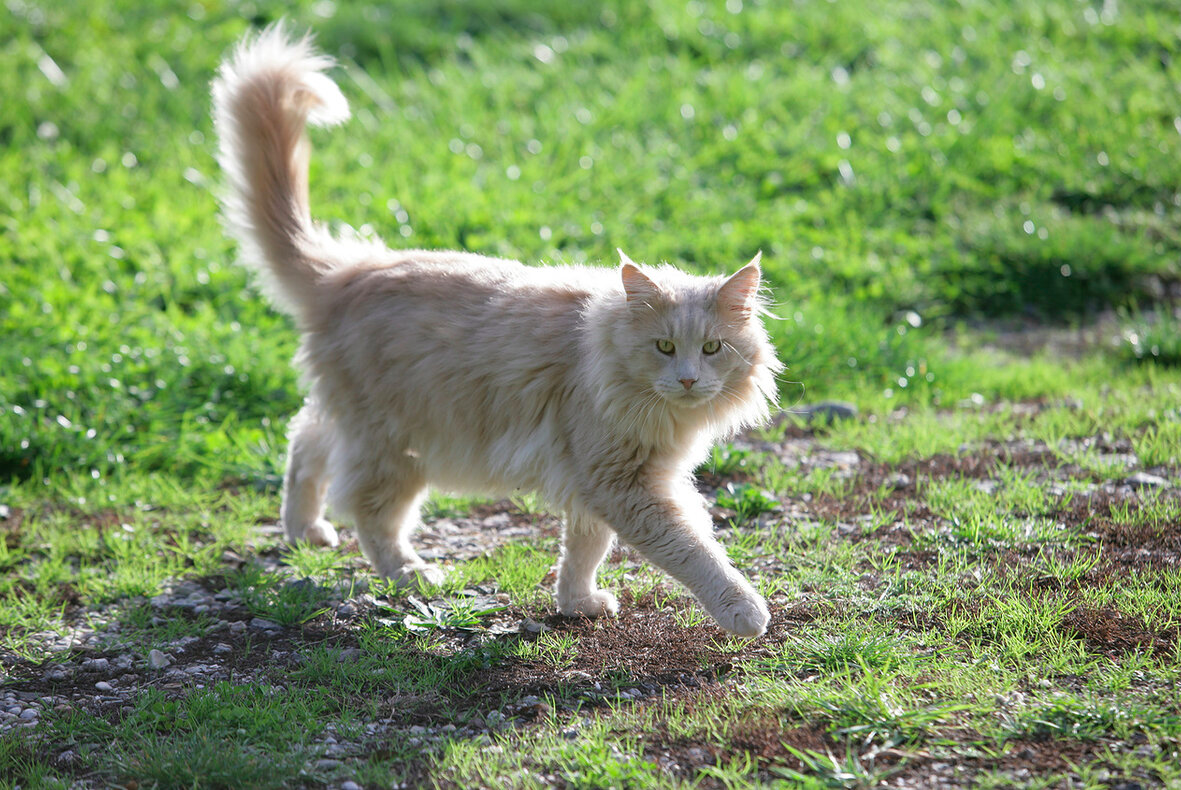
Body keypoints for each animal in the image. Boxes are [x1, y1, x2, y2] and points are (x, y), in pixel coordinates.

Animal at [212, 24, 784, 637]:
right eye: (664, 347)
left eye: (712, 348)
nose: (688, 380)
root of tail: (350, 270)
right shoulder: (623, 482)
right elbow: (692, 549)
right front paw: (745, 611)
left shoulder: (599, 480)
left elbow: (585, 548)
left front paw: (577, 603)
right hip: (394, 444)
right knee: (369, 512)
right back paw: (409, 573)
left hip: (356, 420)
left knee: (305, 439)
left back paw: (303, 530)